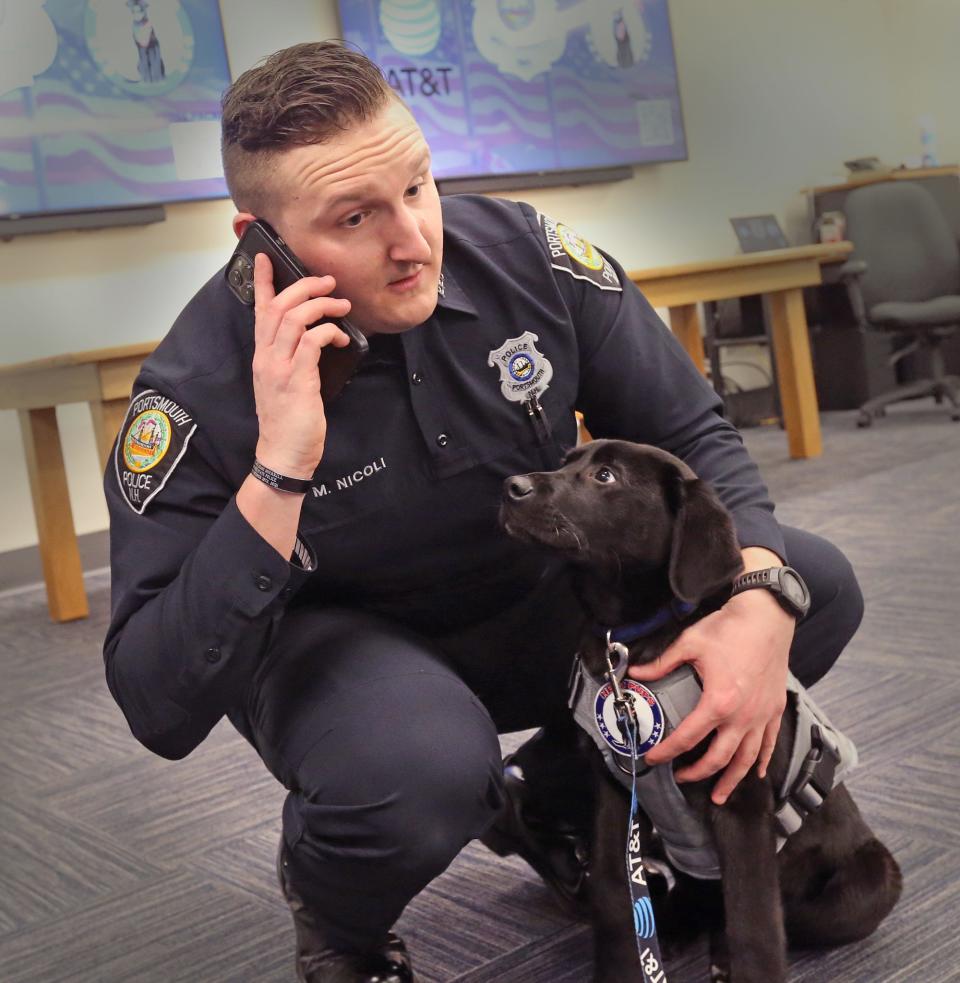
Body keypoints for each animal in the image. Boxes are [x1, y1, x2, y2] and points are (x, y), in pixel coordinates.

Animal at [498, 440, 904, 983]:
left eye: (606, 476)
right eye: (566, 462)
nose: (511, 487)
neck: (629, 638)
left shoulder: (740, 800)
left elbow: (755, 922)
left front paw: (747, 963)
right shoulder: (613, 791)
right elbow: (614, 895)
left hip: (868, 882)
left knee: (761, 916)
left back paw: (719, 951)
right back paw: (673, 925)